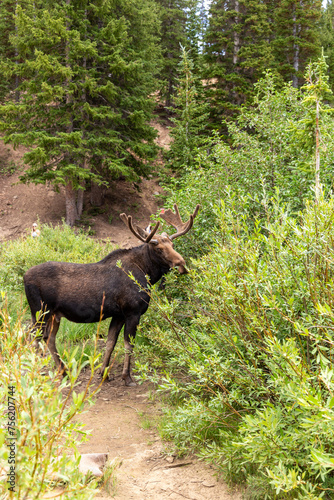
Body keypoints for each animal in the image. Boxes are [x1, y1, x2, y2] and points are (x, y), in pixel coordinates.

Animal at [24, 205, 201, 384]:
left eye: (172, 244)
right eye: (159, 249)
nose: (182, 264)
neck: (147, 274)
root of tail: (24, 277)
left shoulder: (118, 314)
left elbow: (110, 342)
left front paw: (104, 373)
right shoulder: (133, 312)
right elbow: (129, 345)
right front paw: (127, 377)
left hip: (54, 315)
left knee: (49, 338)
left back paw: (64, 371)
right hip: (40, 311)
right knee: (33, 338)